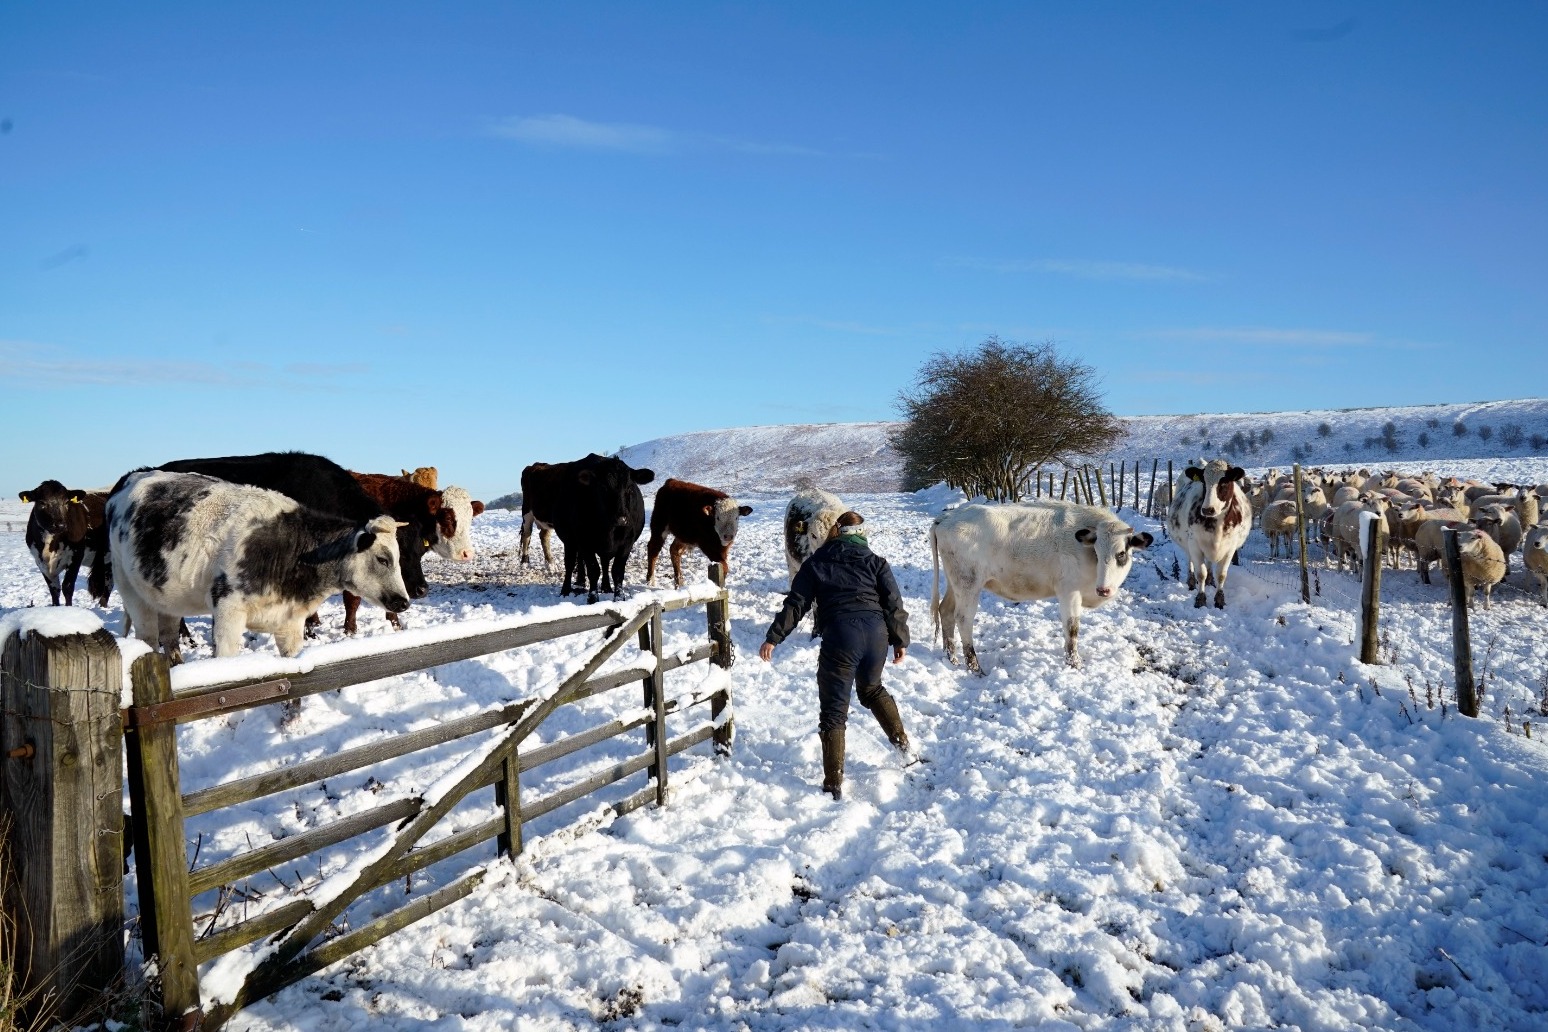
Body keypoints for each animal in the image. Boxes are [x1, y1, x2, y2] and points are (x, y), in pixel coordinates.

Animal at [20, 479, 112, 609]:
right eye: (42, 502)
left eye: (66, 502)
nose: (60, 525)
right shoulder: (40, 561)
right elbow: (54, 590)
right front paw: (56, 608)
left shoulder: (76, 556)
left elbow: (67, 587)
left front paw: (68, 609)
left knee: (109, 583)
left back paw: (102, 606)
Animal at [107, 470, 411, 662]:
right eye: (383, 559)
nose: (404, 601)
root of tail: (131, 477)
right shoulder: (227, 612)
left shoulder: (290, 623)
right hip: (131, 591)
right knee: (148, 638)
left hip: (167, 598)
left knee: (169, 637)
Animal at [928, 498, 1151, 671]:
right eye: (1096, 551)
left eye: (1121, 553)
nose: (1103, 590)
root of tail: (947, 517)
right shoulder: (1069, 591)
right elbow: (1072, 628)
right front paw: (1075, 664)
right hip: (968, 584)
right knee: (963, 619)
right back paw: (974, 667)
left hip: (954, 583)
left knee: (945, 611)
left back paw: (952, 658)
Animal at [1164, 464, 1250, 609]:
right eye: (1203, 482)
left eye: (1224, 482)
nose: (1207, 509)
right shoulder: (1194, 543)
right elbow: (1201, 574)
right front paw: (1200, 599)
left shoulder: (1230, 547)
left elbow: (1221, 575)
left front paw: (1219, 600)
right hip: (1187, 544)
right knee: (1190, 560)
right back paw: (1191, 582)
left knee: (1209, 563)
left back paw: (1210, 581)